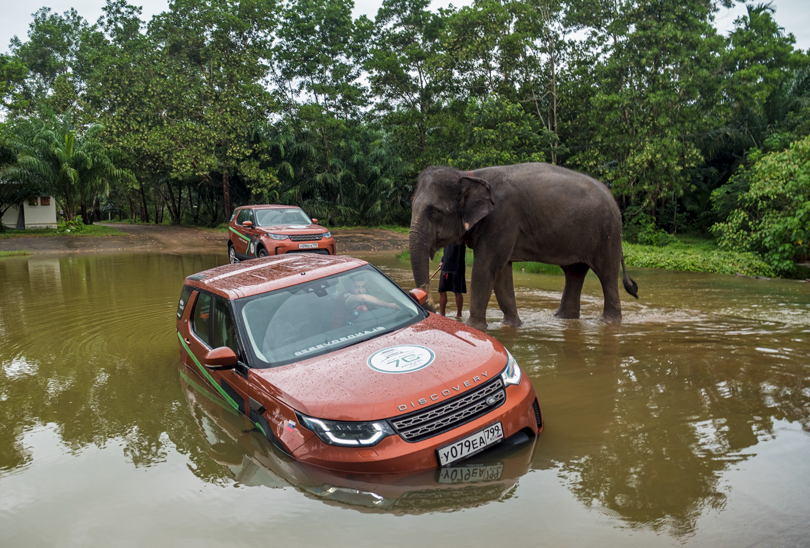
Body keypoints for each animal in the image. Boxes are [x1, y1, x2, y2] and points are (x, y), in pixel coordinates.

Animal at [410, 163, 636, 330]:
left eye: (433, 212)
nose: (428, 304)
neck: (468, 174)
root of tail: (613, 198)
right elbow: (502, 272)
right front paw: (511, 325)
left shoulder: (502, 218)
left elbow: (486, 267)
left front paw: (475, 327)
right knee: (574, 272)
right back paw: (562, 319)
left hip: (607, 234)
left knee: (607, 274)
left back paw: (608, 322)